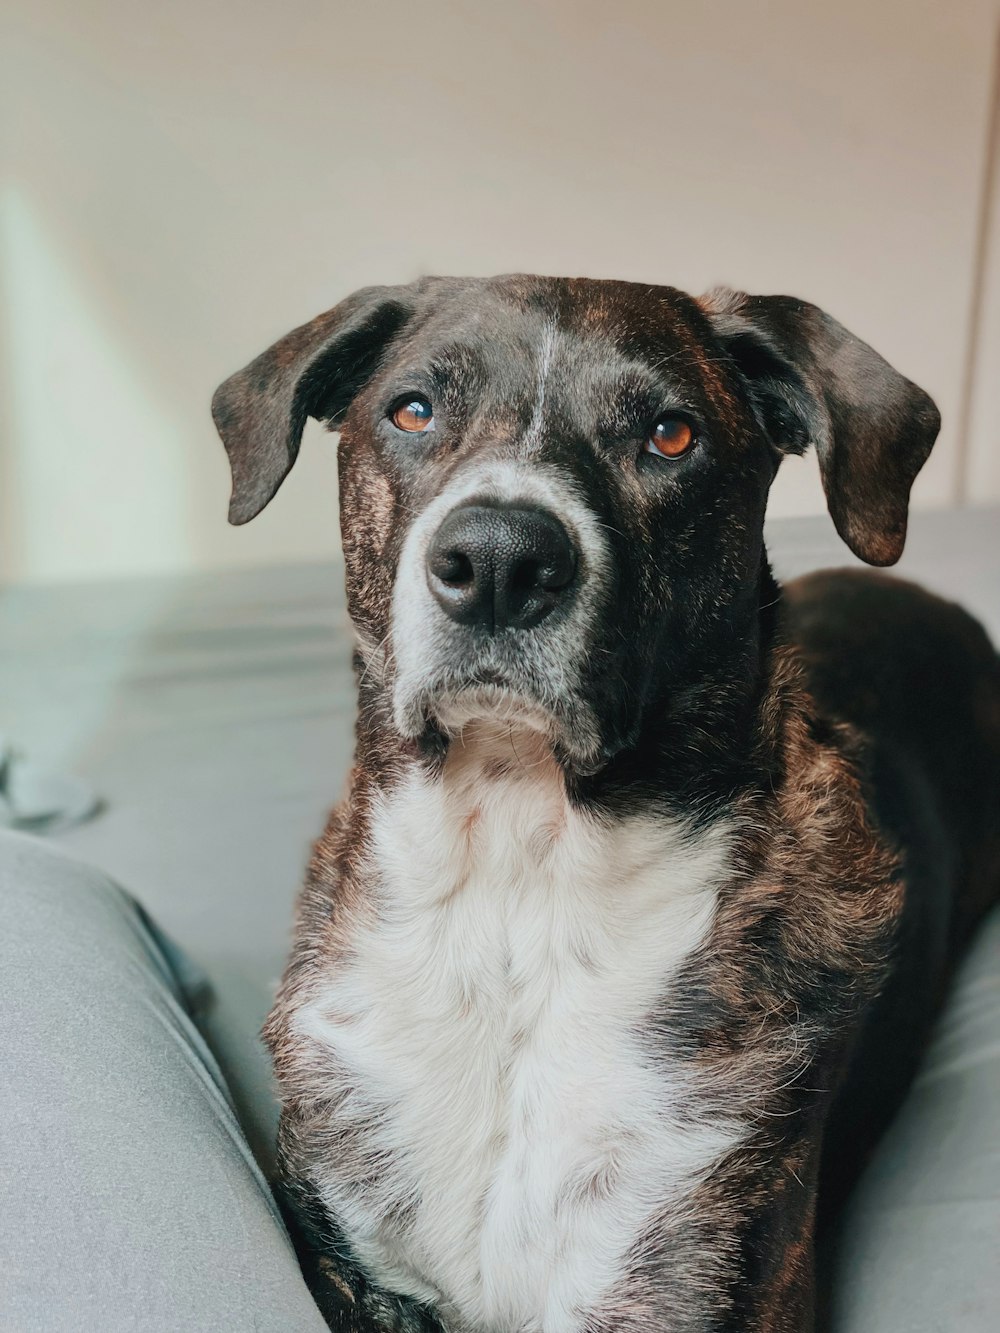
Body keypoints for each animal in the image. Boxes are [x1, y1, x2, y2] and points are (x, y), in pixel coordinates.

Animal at [212, 275, 1000, 1327]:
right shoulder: (351, 1248)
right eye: (412, 410)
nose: (498, 560)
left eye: (671, 434)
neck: (520, 868)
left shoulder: (689, 1264)